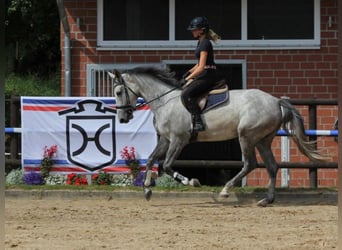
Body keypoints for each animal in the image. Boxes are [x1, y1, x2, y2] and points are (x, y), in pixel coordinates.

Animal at [107, 66, 326, 205]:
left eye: (118, 92)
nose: (123, 118)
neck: (165, 102)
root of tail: (276, 100)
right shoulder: (166, 139)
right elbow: (152, 159)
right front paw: (146, 189)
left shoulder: (178, 140)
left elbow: (167, 166)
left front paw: (191, 182)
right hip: (263, 139)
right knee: (271, 166)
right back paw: (267, 200)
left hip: (246, 136)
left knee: (250, 164)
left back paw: (226, 190)